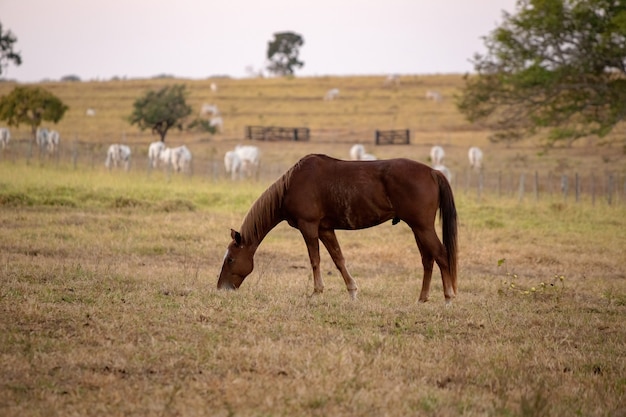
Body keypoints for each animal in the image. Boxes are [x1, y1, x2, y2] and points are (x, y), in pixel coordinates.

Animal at [217, 153, 456, 302]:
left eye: (231, 260)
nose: (221, 288)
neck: (291, 185)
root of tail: (433, 171)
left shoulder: (309, 227)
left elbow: (315, 260)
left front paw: (316, 293)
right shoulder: (325, 230)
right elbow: (339, 260)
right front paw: (352, 292)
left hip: (423, 227)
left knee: (441, 255)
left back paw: (449, 298)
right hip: (418, 229)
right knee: (428, 260)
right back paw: (422, 298)